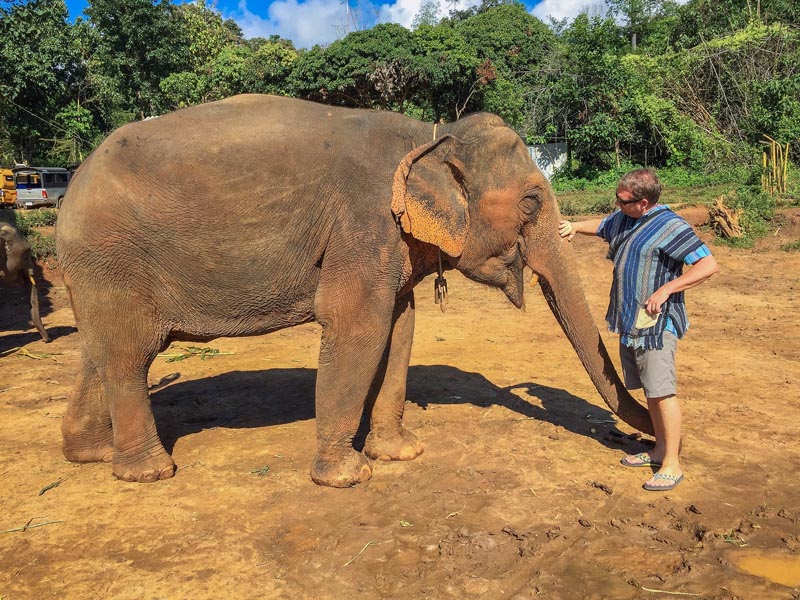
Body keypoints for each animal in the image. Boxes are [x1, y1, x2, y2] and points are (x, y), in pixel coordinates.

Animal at [57, 94, 656, 488]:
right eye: (531, 201)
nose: (638, 440)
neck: (431, 136)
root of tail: (72, 186)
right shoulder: (363, 223)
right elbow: (358, 328)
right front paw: (347, 477)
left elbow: (401, 328)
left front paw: (402, 454)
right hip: (113, 256)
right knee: (130, 356)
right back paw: (150, 471)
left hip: (98, 271)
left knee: (100, 353)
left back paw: (91, 454)